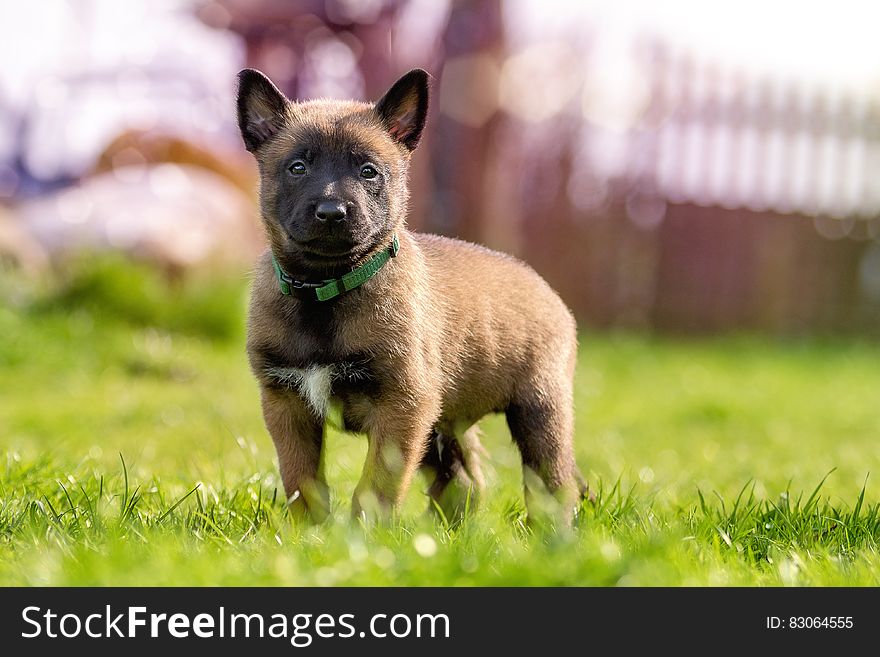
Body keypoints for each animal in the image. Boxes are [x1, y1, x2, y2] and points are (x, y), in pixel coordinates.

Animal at [237, 66, 588, 524]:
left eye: (369, 171)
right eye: (297, 167)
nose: (332, 213)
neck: (326, 291)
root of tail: (543, 286)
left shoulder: (401, 406)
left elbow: (374, 487)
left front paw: (362, 535)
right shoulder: (287, 403)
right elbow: (303, 482)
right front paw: (308, 533)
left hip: (540, 410)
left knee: (552, 483)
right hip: (444, 424)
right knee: (463, 482)